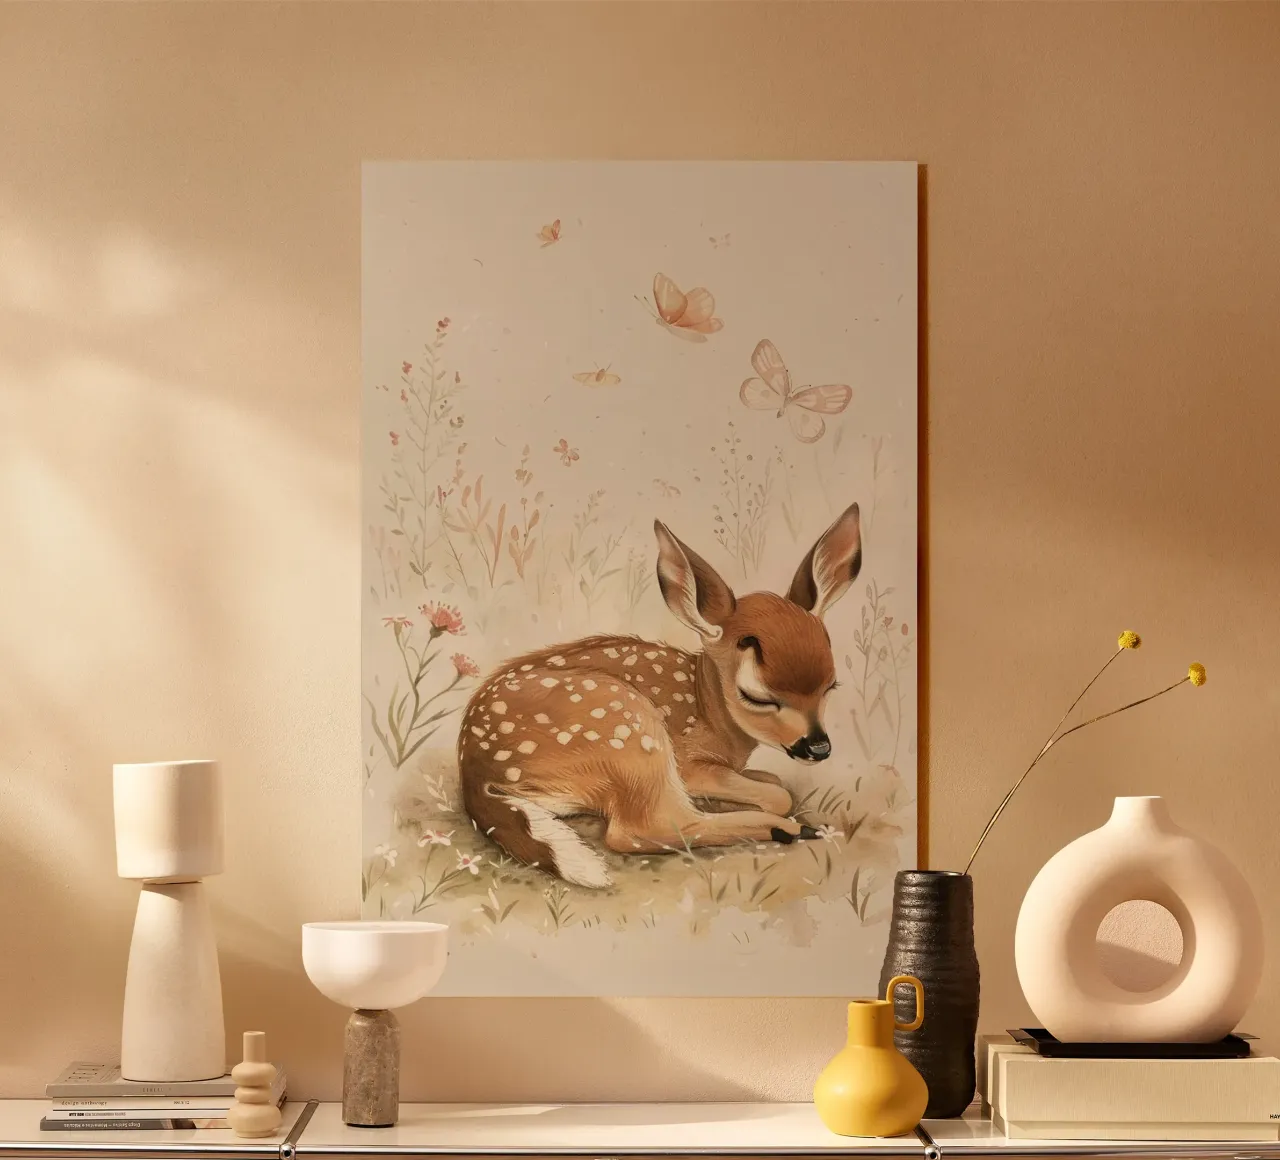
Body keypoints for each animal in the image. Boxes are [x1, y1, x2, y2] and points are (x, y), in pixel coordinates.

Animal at [456, 501, 863, 889]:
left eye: (831, 686)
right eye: (757, 697)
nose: (818, 747)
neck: (708, 709)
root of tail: (474, 773)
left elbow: (774, 782)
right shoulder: (688, 764)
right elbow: (780, 794)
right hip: (627, 732)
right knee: (639, 830)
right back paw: (789, 830)